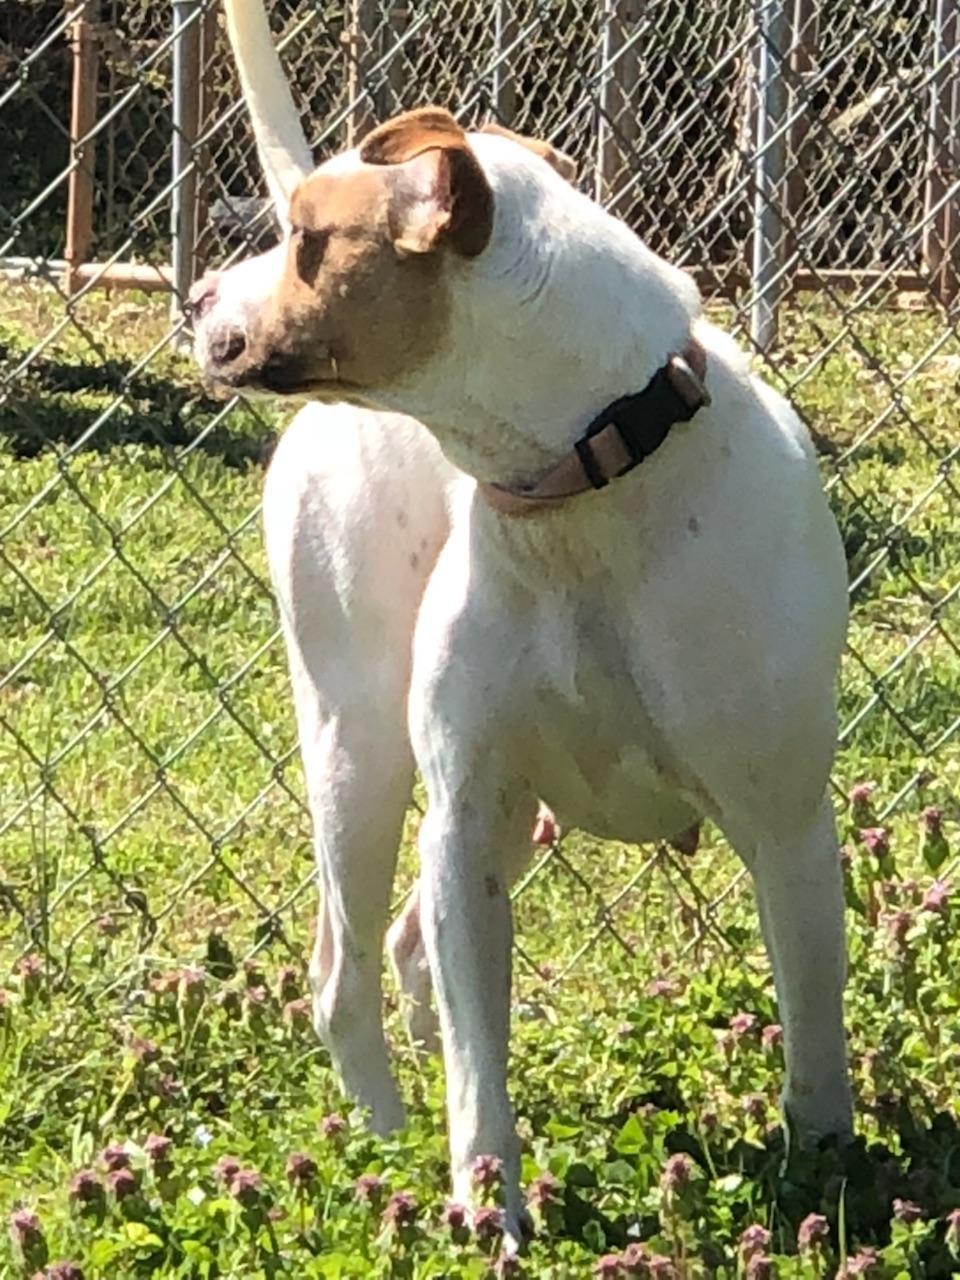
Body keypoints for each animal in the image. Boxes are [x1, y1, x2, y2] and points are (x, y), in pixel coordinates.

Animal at [192, 0, 855, 1244]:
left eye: (306, 238)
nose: (200, 296)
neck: (589, 480)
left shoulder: (787, 821)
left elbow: (815, 1026)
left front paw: (831, 1174)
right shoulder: (465, 814)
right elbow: (475, 1065)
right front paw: (485, 1197)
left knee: (404, 949)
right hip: (359, 750)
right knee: (347, 974)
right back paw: (385, 1147)